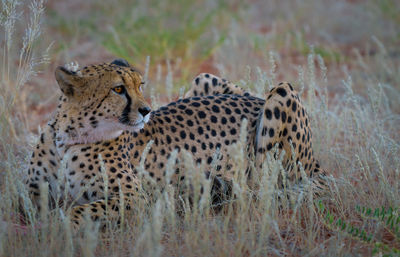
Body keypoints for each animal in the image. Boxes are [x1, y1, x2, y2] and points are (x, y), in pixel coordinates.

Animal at [25, 58, 326, 228]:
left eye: (140, 85)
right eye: (118, 89)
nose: (147, 110)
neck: (70, 137)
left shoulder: (135, 199)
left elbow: (77, 210)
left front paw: (57, 226)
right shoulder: (34, 192)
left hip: (282, 95)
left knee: (263, 190)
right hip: (204, 78)